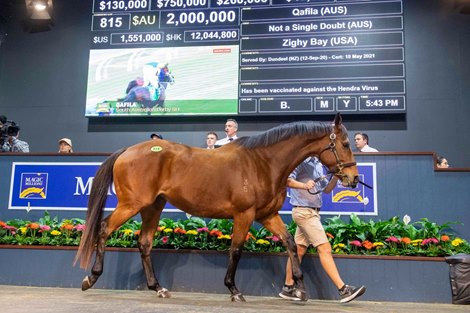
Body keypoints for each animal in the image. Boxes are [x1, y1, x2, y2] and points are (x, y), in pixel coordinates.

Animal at [75, 112, 358, 300]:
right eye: (345, 144)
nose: (353, 179)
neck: (263, 163)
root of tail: (127, 151)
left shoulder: (267, 215)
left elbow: (289, 242)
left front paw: (298, 287)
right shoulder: (244, 214)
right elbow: (236, 250)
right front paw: (233, 289)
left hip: (152, 207)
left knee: (144, 243)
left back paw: (158, 287)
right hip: (132, 204)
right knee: (103, 229)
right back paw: (91, 277)